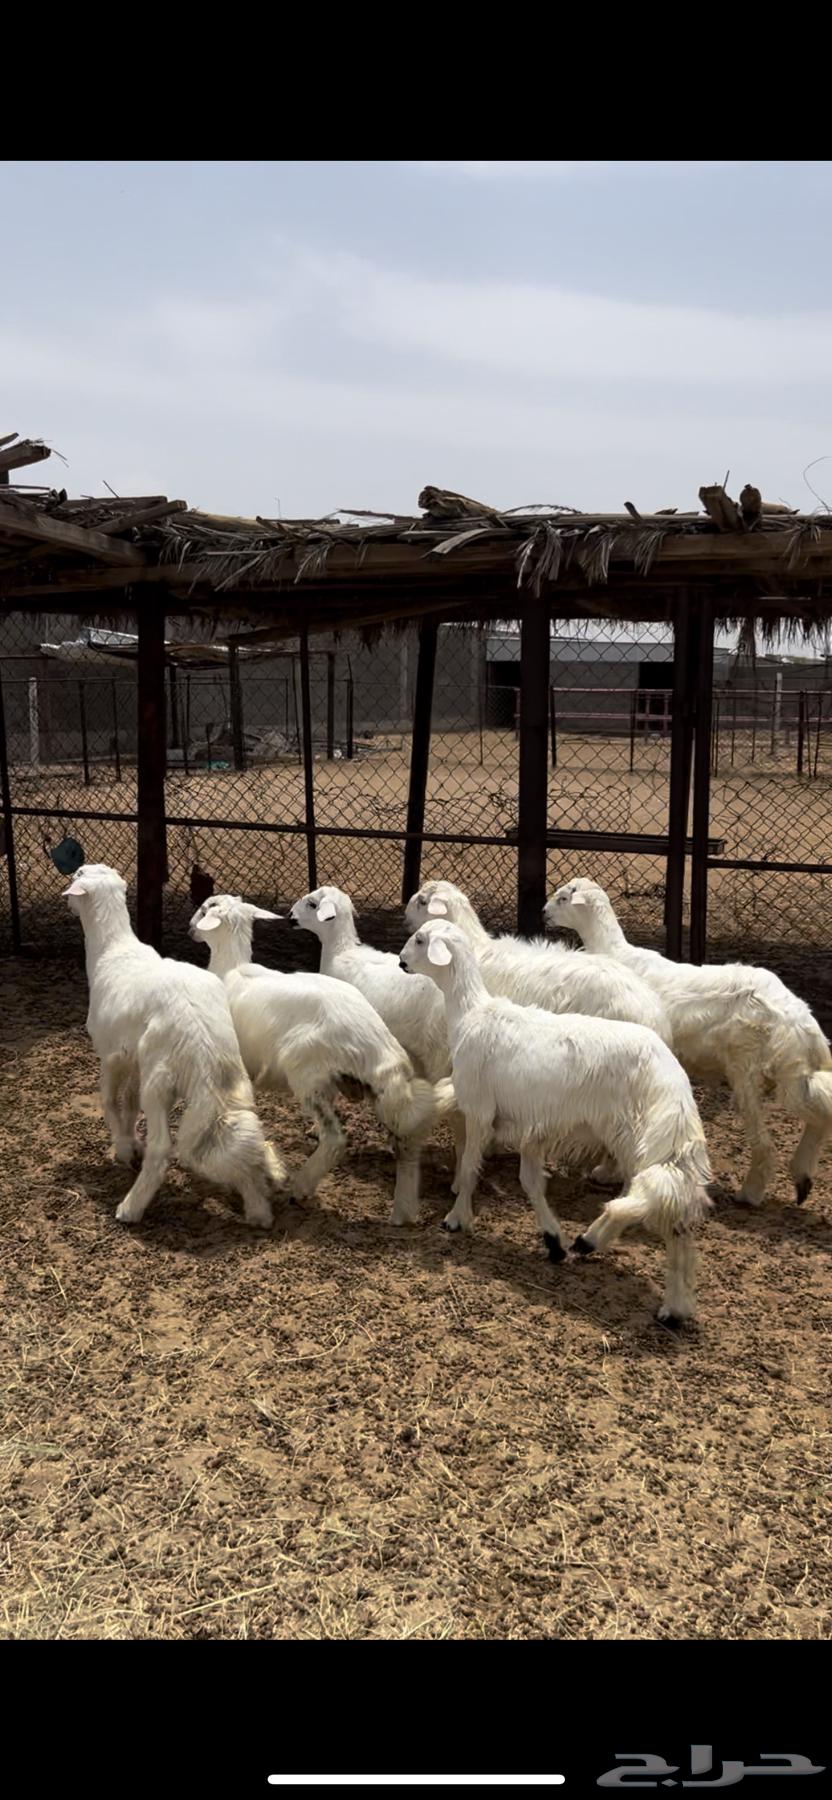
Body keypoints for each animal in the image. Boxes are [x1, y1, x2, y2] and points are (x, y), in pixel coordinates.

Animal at [63, 864, 284, 1229]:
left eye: (78, 874)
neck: (111, 950)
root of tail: (203, 1045)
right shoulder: (134, 1061)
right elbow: (129, 1103)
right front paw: (130, 1143)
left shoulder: (110, 1053)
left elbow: (109, 1100)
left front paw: (123, 1149)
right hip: (232, 1079)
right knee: (240, 1137)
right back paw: (259, 1209)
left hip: (159, 1080)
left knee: (162, 1147)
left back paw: (130, 1208)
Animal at [189, 893, 453, 1222]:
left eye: (204, 910)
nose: (191, 930)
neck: (230, 967)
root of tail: (374, 1043)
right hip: (377, 1090)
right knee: (407, 1142)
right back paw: (403, 1212)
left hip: (307, 1072)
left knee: (335, 1138)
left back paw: (301, 1186)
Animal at [400, 917, 712, 1325]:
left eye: (421, 940)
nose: (402, 962)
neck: (469, 1014)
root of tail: (671, 1076)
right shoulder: (532, 1129)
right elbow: (531, 1183)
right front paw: (552, 1240)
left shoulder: (481, 1111)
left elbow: (469, 1168)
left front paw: (456, 1218)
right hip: (656, 1143)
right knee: (676, 1217)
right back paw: (676, 1305)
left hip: (635, 1136)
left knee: (649, 1200)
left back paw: (596, 1238)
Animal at [545, 876, 832, 1208]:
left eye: (563, 898)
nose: (544, 913)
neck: (615, 952)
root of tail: (803, 1020)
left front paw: (607, 1170)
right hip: (791, 1073)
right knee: (820, 1106)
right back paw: (802, 1179)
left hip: (748, 1069)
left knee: (767, 1141)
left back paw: (750, 1193)